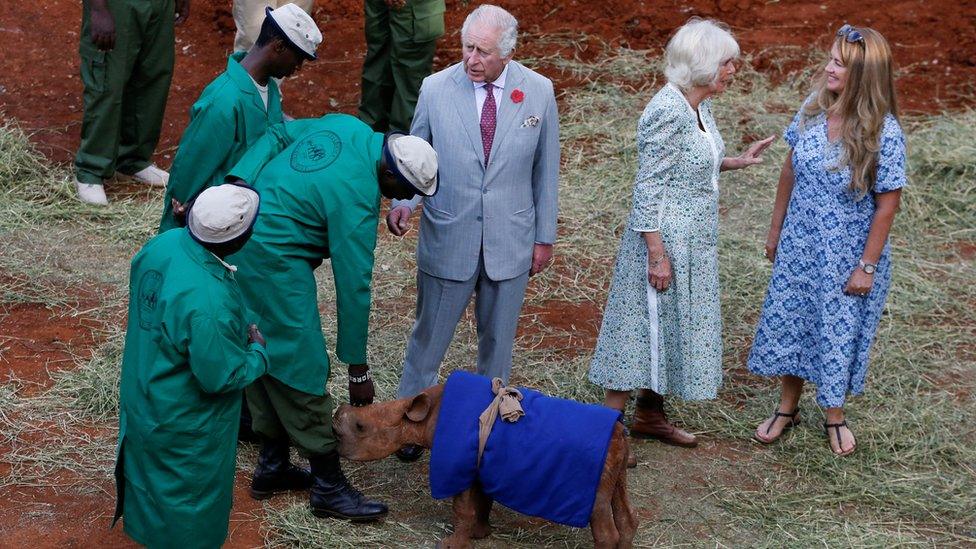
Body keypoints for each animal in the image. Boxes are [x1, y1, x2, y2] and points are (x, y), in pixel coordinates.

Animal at [334, 370, 640, 544]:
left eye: (360, 427)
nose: (334, 422)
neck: (422, 417)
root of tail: (620, 433)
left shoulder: (459, 463)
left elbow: (463, 507)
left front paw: (451, 544)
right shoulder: (482, 462)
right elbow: (482, 501)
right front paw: (480, 534)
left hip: (599, 467)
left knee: (598, 508)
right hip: (616, 458)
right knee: (621, 500)